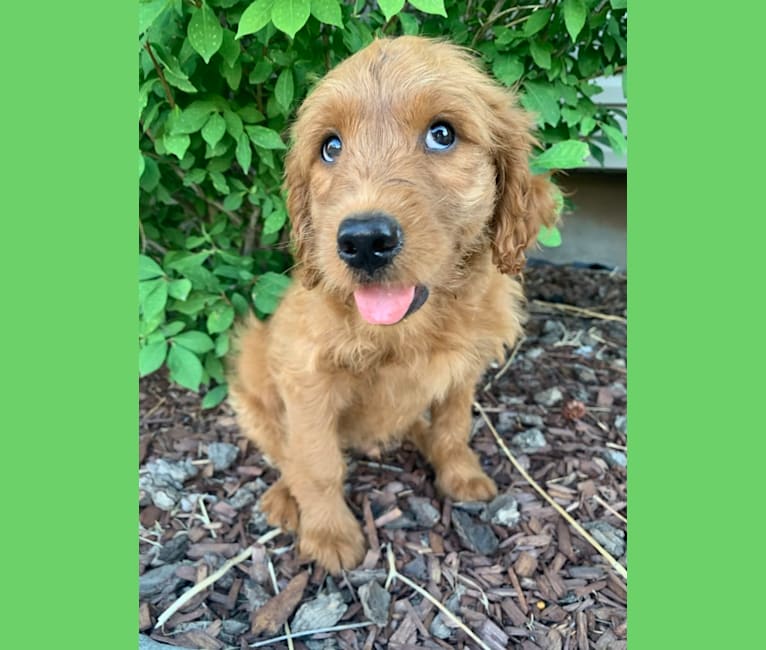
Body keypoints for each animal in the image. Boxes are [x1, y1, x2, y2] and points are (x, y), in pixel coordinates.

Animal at [228, 36, 560, 572]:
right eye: (330, 147)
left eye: (442, 134)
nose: (363, 241)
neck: (410, 327)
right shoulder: (306, 376)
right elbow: (316, 462)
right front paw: (329, 534)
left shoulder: (463, 367)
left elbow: (452, 426)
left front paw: (460, 474)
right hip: (253, 374)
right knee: (284, 451)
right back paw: (283, 499)